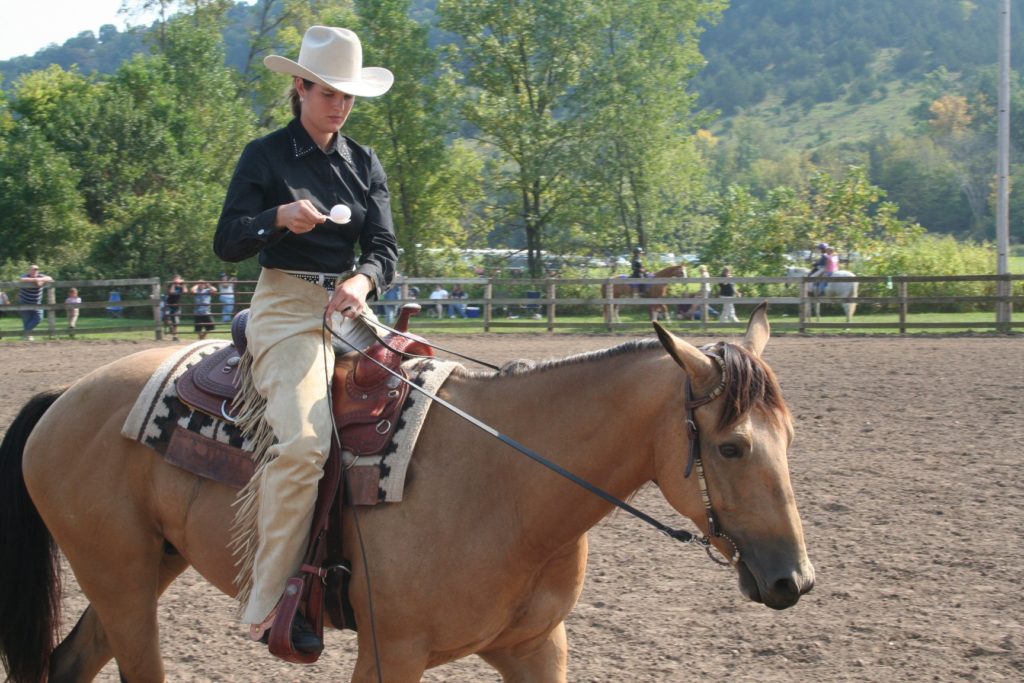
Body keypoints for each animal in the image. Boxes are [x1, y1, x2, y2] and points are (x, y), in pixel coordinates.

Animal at [0, 304, 814, 683]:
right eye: (732, 445)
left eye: (792, 435)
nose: (794, 580)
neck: (508, 486)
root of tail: (64, 397)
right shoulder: (391, 652)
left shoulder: (535, 646)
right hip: (120, 577)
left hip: (142, 570)